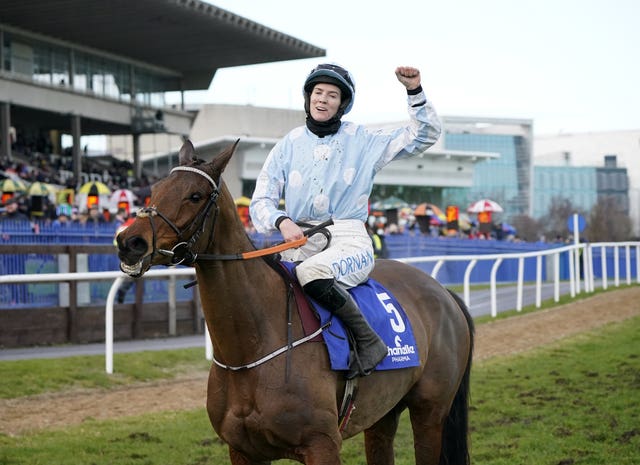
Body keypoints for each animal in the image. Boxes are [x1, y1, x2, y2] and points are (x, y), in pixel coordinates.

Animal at [117, 140, 472, 464]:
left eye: (195, 195)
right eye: (154, 189)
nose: (130, 242)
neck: (250, 349)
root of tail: (444, 292)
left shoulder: (321, 445)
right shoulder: (242, 451)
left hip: (430, 412)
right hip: (382, 414)